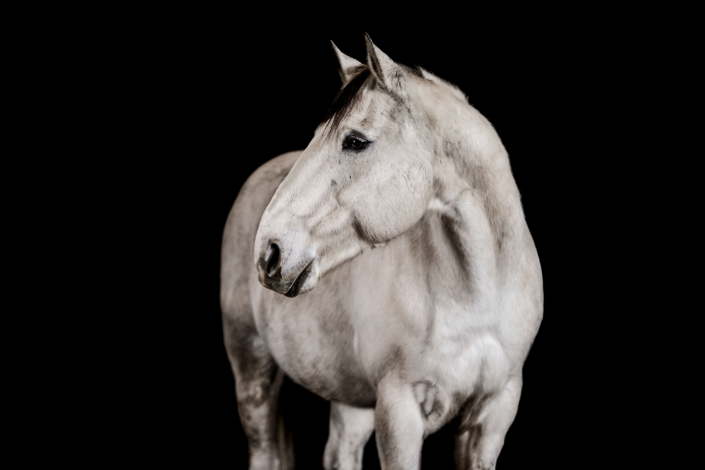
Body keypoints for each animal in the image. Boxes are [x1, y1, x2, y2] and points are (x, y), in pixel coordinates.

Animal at [220, 34, 543, 470]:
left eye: (355, 141)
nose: (270, 252)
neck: (475, 299)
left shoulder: (492, 417)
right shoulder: (399, 413)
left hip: (350, 397)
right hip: (253, 372)